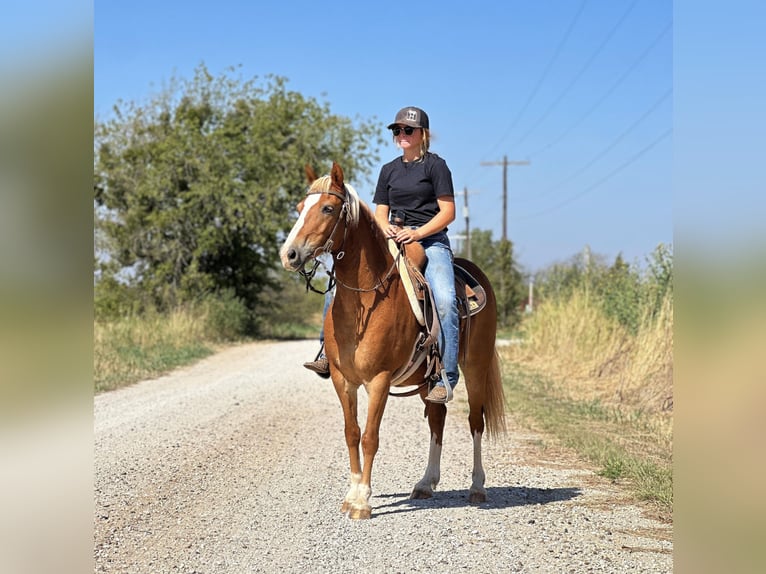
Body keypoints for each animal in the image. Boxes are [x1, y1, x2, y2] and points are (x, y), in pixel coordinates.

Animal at [280, 163, 508, 520]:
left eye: (328, 208)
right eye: (300, 207)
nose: (288, 254)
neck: (367, 299)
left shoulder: (379, 380)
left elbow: (370, 437)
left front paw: (362, 501)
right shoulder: (344, 380)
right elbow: (352, 433)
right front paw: (352, 494)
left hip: (476, 366)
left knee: (475, 421)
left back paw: (477, 487)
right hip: (431, 381)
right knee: (438, 418)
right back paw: (426, 483)